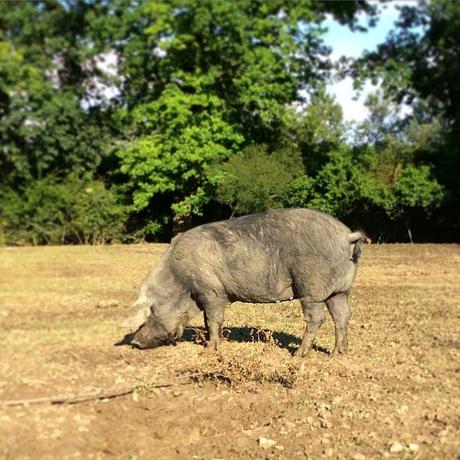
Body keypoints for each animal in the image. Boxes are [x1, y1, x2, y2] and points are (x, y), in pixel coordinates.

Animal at [123, 208, 366, 356]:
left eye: (148, 316)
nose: (135, 342)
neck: (181, 283)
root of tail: (346, 236)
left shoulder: (211, 291)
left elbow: (213, 319)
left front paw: (210, 348)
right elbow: (206, 321)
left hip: (312, 287)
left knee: (317, 318)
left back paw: (298, 354)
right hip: (341, 290)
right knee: (342, 316)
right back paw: (337, 353)